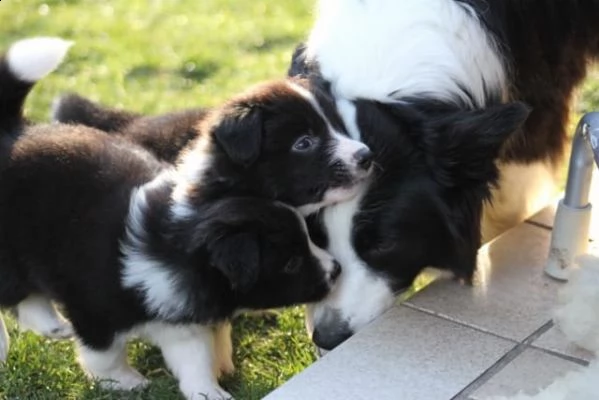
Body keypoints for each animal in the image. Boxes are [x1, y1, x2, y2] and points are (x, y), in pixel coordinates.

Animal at [0, 38, 376, 400]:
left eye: (338, 127)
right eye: (304, 143)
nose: (366, 156)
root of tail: (15, 133)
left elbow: (198, 347)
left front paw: (213, 379)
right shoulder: (100, 310)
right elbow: (106, 354)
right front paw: (126, 381)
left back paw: (51, 325)